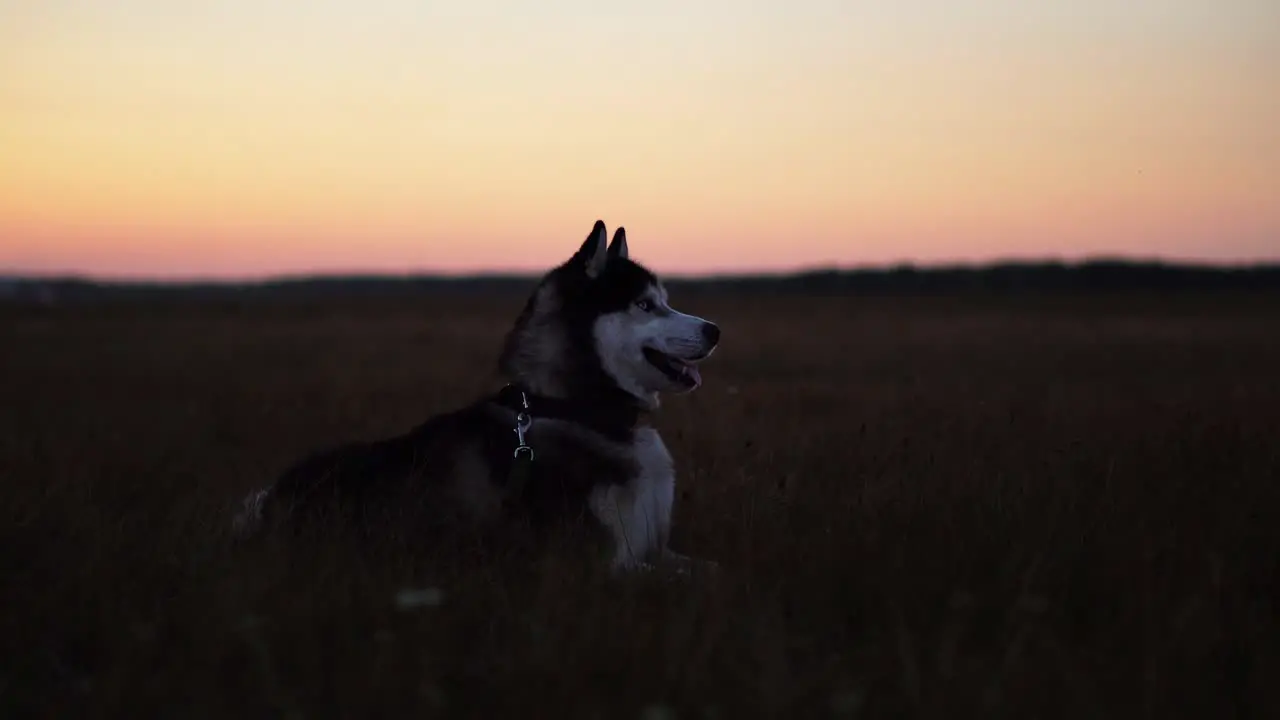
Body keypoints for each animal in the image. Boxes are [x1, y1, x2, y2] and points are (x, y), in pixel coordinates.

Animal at [232, 219, 721, 571]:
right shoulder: (600, 561)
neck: (575, 410)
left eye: (664, 300)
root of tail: (268, 499)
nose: (715, 330)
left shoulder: (656, 549)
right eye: (644, 305)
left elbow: (714, 567)